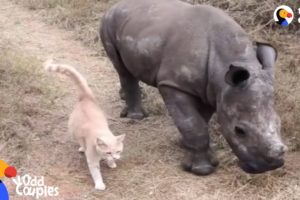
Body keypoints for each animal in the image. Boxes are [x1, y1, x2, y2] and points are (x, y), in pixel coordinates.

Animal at [44, 59, 125, 191]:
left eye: (118, 151)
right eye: (108, 152)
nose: (115, 158)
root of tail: (85, 97)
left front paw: (111, 163)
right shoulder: (92, 160)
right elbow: (96, 173)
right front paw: (99, 184)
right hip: (73, 130)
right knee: (79, 141)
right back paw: (82, 148)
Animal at [100, 0, 286, 175]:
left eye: (279, 123)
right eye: (239, 130)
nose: (272, 166)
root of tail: (116, 5)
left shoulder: (212, 90)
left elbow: (200, 121)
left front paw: (187, 147)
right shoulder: (174, 85)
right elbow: (193, 125)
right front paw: (202, 170)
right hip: (109, 22)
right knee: (121, 68)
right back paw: (136, 117)